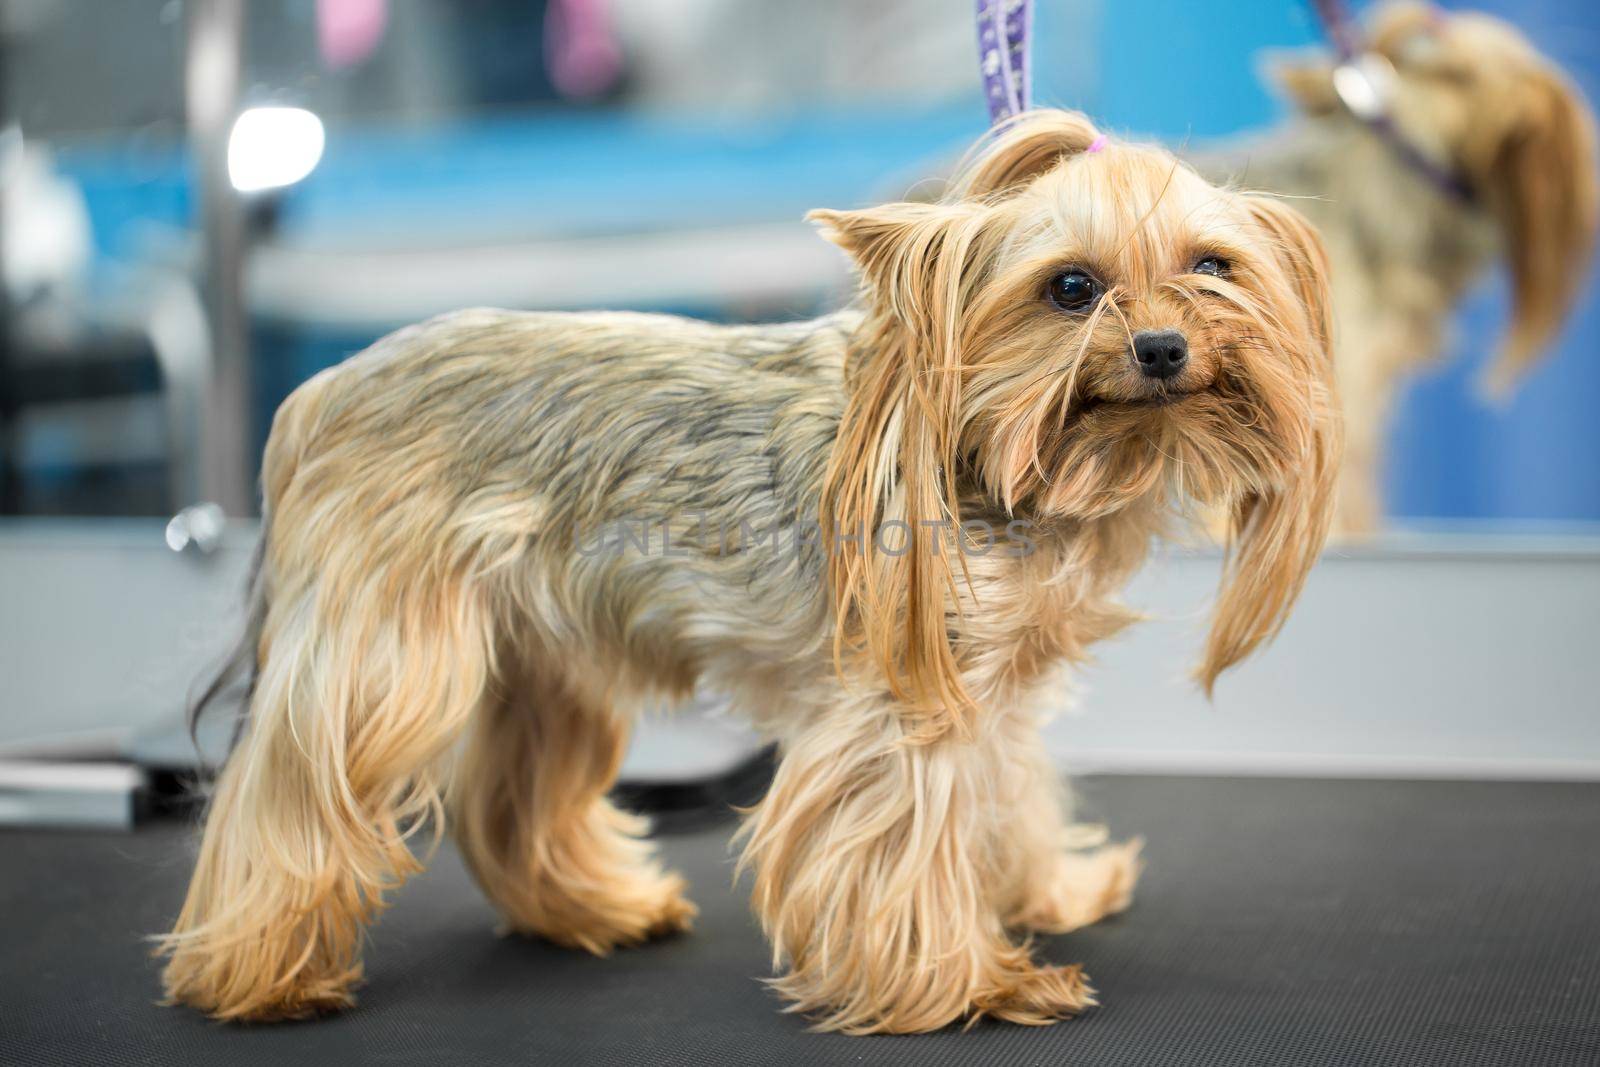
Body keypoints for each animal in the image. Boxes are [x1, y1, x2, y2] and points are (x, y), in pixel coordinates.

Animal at [159, 110, 1337, 1036]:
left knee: (511, 788)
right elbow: (901, 834)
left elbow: (1008, 790)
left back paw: (594, 908)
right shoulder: (903, 693)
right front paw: (970, 983)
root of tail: (318, 393)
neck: (997, 459)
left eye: (1212, 266)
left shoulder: (995, 686)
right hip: (388, 639)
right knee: (293, 783)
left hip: (540, 651)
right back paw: (255, 972)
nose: (1162, 348)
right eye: (1072, 287)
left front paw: (1047, 888)